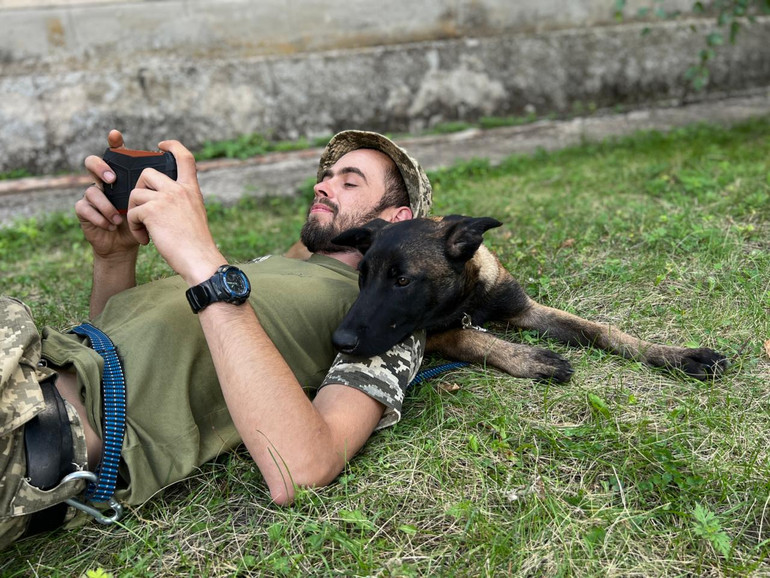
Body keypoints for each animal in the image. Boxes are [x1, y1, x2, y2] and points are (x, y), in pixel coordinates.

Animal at [330, 214, 728, 380]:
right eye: (362, 277)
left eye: (402, 280)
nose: (339, 340)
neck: (470, 300)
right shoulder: (436, 332)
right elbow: (471, 337)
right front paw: (530, 358)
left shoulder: (525, 310)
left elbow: (600, 330)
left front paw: (674, 355)